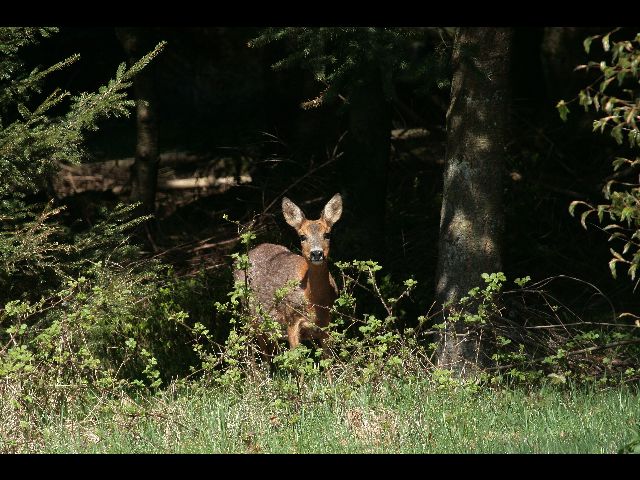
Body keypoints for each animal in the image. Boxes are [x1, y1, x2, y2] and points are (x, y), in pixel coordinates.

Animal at [235, 193, 342, 350]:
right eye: (302, 236)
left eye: (327, 234)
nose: (316, 253)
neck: (314, 301)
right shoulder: (291, 319)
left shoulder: (326, 324)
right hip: (252, 314)